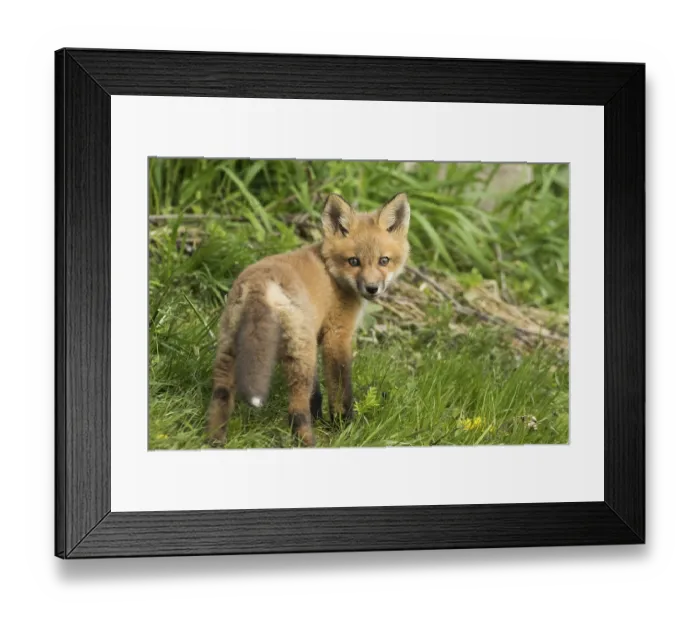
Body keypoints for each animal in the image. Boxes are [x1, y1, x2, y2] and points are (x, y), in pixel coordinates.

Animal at [206, 192, 411, 447]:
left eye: (384, 260)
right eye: (354, 261)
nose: (372, 288)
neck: (331, 272)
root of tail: (259, 285)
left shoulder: (314, 335)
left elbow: (317, 393)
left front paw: (320, 418)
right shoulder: (336, 337)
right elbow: (340, 389)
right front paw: (344, 427)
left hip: (231, 349)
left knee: (221, 397)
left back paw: (215, 441)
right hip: (299, 357)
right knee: (296, 411)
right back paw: (309, 442)